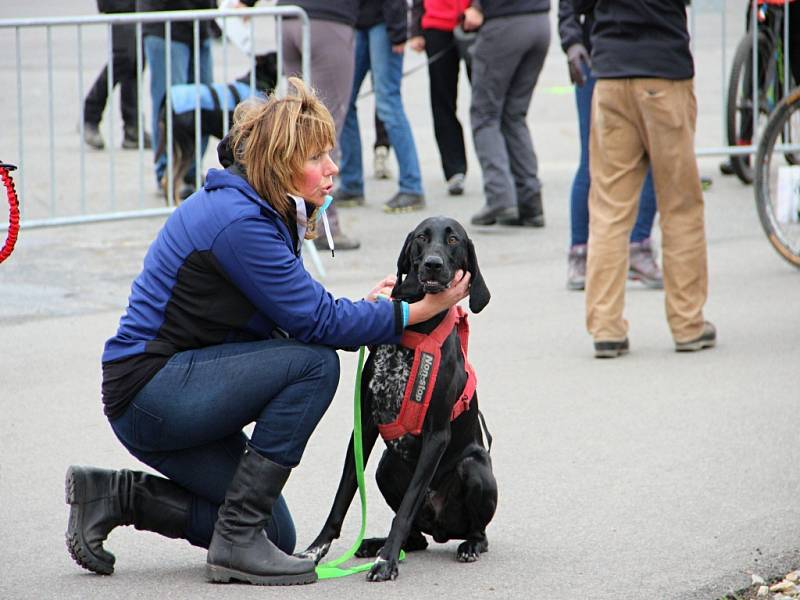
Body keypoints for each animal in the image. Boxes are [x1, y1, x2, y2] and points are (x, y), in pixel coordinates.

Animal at [156, 51, 278, 204]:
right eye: (275, 58)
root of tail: (168, 103)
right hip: (188, 148)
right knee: (175, 181)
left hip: (175, 147)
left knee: (166, 180)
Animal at [300, 217, 496, 580]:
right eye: (421, 238)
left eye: (453, 240)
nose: (432, 264)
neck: (417, 329)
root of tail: (442, 529)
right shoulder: (363, 426)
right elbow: (343, 495)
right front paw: (315, 551)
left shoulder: (437, 435)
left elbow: (405, 509)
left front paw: (387, 561)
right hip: (385, 466)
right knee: (416, 537)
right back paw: (374, 544)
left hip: (474, 468)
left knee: (477, 531)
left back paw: (468, 546)